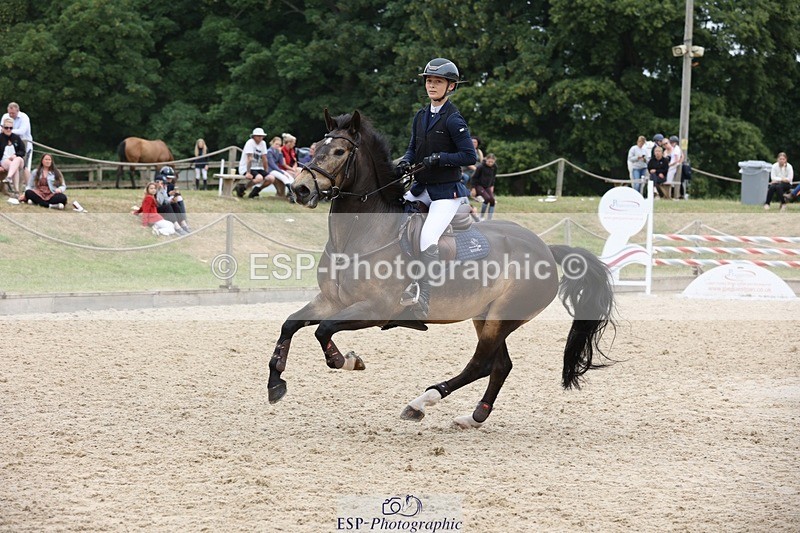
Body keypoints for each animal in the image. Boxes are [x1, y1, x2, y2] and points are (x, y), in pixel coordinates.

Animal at [268, 109, 616, 428]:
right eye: (314, 148)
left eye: (339, 152)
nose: (300, 189)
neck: (358, 235)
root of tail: (545, 248)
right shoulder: (332, 301)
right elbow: (290, 324)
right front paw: (275, 384)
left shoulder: (375, 309)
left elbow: (323, 329)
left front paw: (347, 361)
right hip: (487, 316)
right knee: (500, 365)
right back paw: (474, 417)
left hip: (502, 317)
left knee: (481, 364)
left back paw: (421, 403)